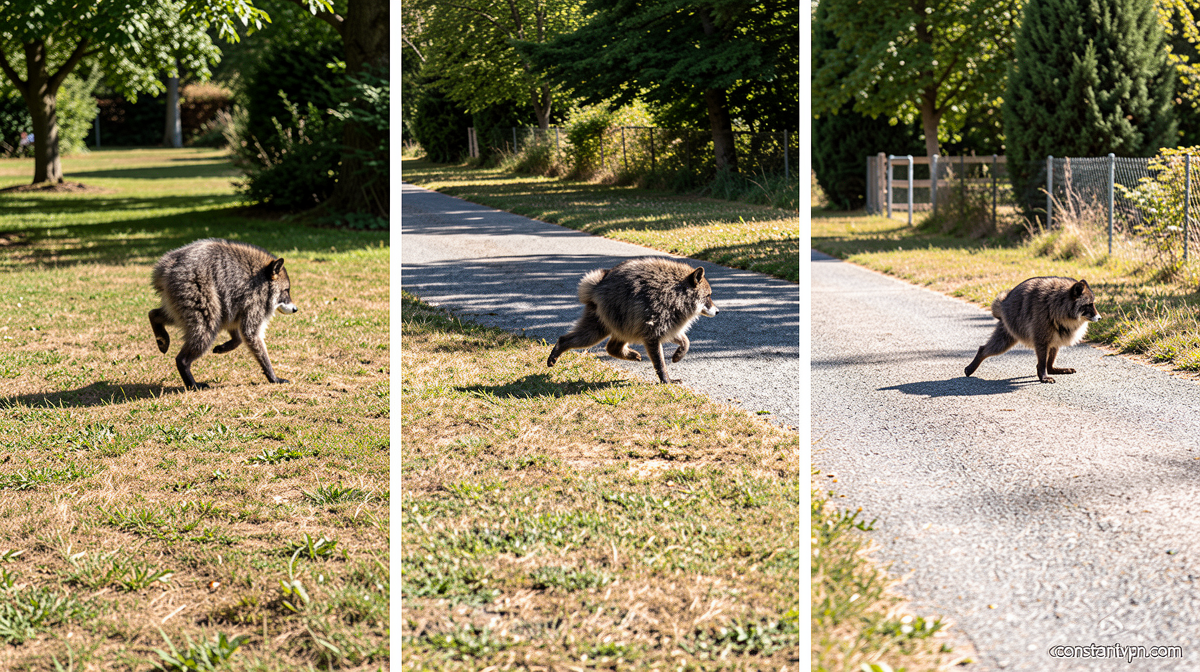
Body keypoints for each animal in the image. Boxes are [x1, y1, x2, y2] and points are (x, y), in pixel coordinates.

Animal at [149, 238, 297, 390]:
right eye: (286, 290)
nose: (295, 309)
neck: (263, 276)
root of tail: (167, 268)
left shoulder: (233, 304)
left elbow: (235, 328)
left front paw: (231, 343)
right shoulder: (255, 300)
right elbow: (250, 333)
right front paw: (271, 374)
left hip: (180, 299)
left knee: (166, 315)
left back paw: (156, 322)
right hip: (194, 290)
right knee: (207, 326)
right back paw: (187, 371)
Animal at [546, 257, 719, 384]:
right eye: (708, 296)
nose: (718, 311)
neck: (679, 292)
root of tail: (598, 285)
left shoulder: (671, 318)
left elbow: (677, 334)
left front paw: (683, 347)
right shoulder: (657, 312)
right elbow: (656, 350)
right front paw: (664, 377)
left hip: (617, 317)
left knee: (602, 338)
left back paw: (616, 349)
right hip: (614, 310)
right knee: (590, 336)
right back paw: (562, 344)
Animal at [964, 276, 1101, 383]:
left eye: (1093, 304)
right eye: (1089, 305)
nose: (1099, 318)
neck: (1061, 300)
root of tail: (1004, 301)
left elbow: (1052, 346)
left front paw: (1046, 369)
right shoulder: (1041, 318)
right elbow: (1041, 347)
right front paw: (1042, 373)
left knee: (1055, 344)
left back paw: (1051, 367)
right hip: (1011, 325)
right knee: (998, 345)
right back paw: (979, 356)